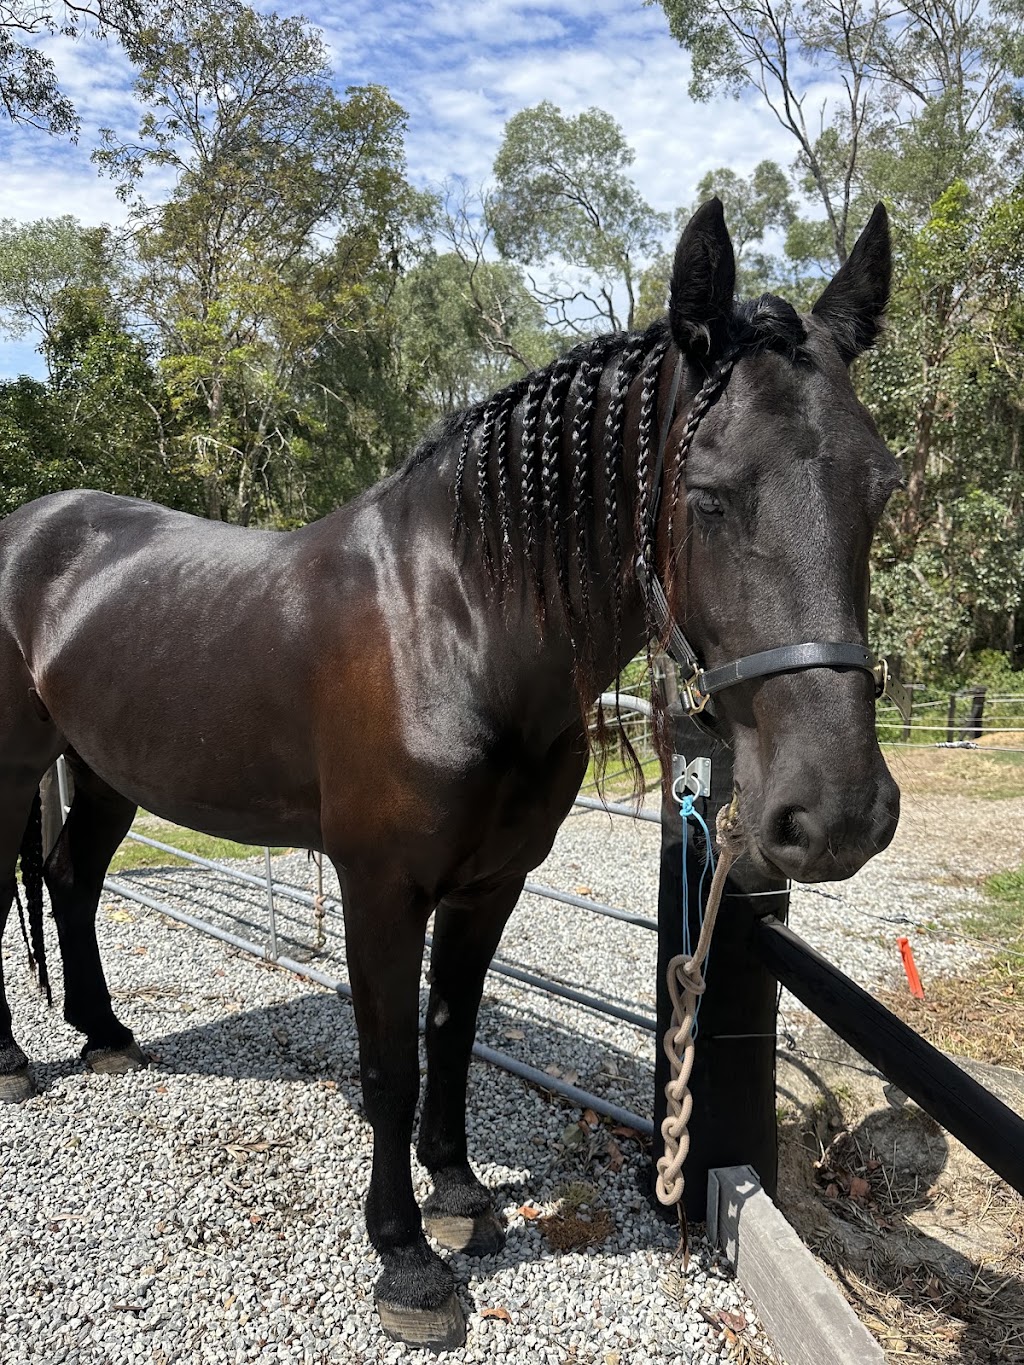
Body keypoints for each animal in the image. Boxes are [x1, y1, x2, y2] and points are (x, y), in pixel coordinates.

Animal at [0, 198, 901, 1349]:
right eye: (707, 497)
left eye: (882, 489)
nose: (838, 815)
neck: (451, 624)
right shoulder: (379, 886)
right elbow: (391, 1059)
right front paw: (404, 1261)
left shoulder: (489, 884)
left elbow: (453, 1031)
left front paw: (460, 1195)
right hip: (9, 766)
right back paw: (14, 1064)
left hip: (107, 771)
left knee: (72, 884)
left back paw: (108, 1036)